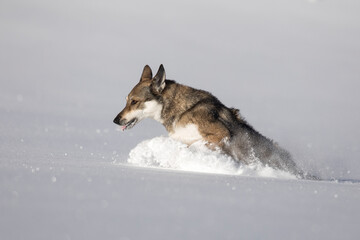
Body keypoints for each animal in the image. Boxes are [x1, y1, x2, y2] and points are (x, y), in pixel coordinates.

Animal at [114, 64, 310, 178]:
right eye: (126, 100)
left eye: (134, 101)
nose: (116, 120)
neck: (183, 111)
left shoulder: (221, 135)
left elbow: (196, 146)